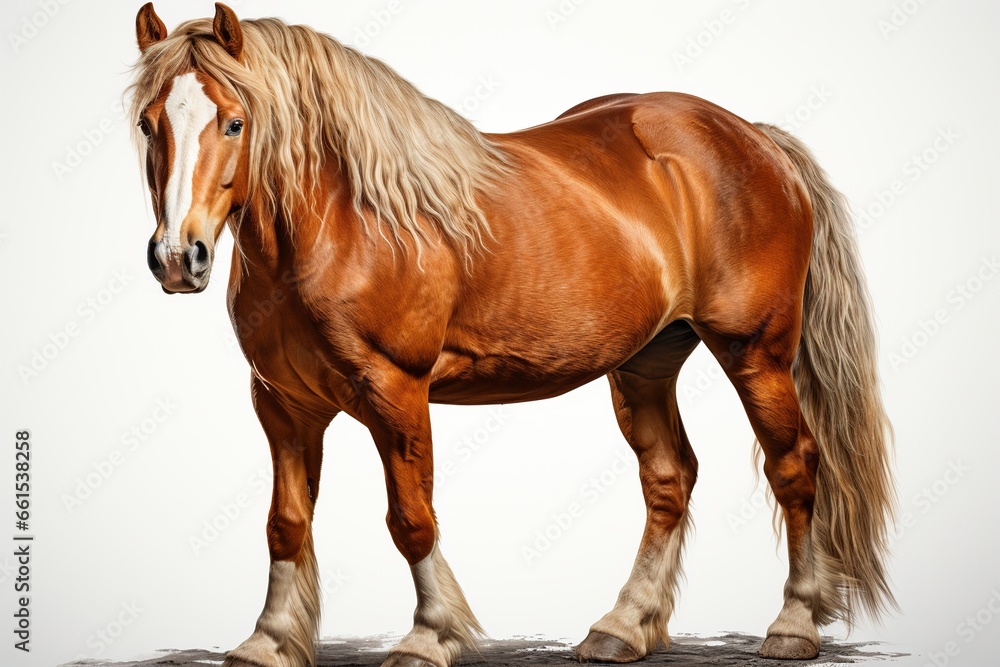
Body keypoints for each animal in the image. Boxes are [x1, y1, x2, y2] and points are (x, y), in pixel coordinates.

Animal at [127, 3, 895, 665]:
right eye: (147, 123)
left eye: (234, 122)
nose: (179, 257)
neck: (343, 220)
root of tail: (756, 137)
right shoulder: (282, 403)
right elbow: (285, 522)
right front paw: (270, 639)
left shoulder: (395, 390)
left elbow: (411, 517)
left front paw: (429, 635)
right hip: (646, 363)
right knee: (669, 479)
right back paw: (622, 626)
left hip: (755, 353)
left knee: (794, 464)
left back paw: (793, 623)